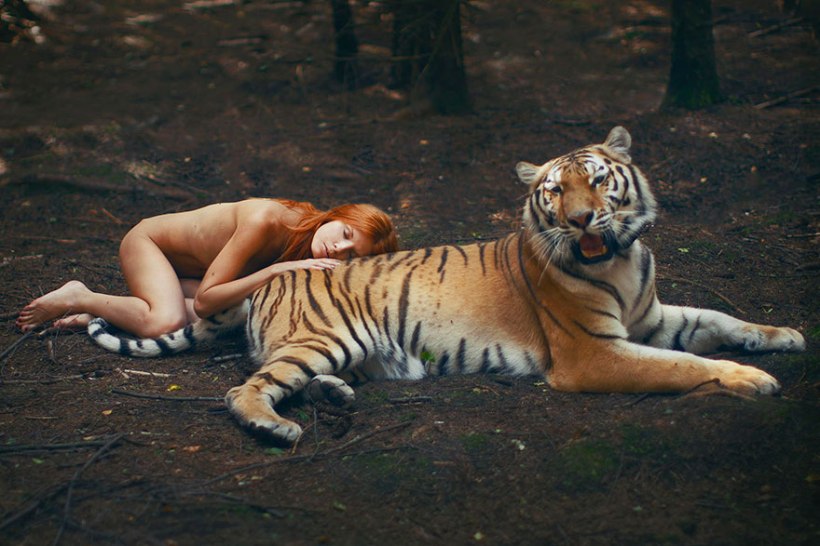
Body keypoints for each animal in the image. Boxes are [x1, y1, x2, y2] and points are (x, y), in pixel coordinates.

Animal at [88, 126, 806, 444]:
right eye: (555, 191)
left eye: (599, 179)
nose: (581, 219)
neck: (620, 262)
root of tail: (269, 284)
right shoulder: (594, 351)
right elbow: (684, 364)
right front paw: (753, 380)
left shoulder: (650, 317)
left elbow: (718, 320)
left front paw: (785, 335)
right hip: (326, 337)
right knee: (246, 387)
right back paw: (277, 427)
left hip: (349, 349)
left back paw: (336, 396)